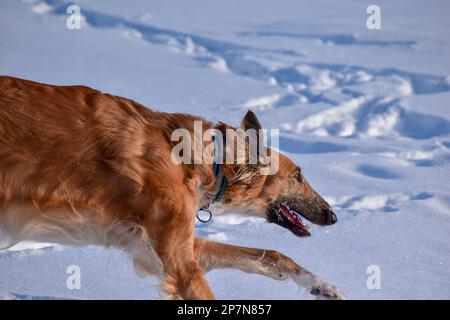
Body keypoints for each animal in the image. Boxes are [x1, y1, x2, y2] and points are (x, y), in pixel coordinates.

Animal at [0, 76, 344, 302]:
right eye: (298, 176)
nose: (333, 216)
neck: (205, 162)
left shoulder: (168, 247)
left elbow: (272, 255)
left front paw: (322, 286)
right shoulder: (178, 261)